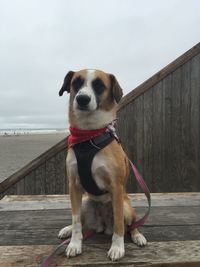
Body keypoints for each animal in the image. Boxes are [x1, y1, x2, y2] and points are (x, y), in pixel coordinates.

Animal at [57, 69, 147, 262]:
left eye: (99, 85)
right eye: (76, 83)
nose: (82, 99)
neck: (88, 135)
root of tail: (103, 225)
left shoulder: (116, 187)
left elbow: (119, 225)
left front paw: (117, 247)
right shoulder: (73, 185)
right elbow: (76, 220)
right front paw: (74, 243)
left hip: (126, 206)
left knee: (131, 224)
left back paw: (138, 236)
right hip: (85, 202)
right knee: (82, 221)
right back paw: (68, 230)